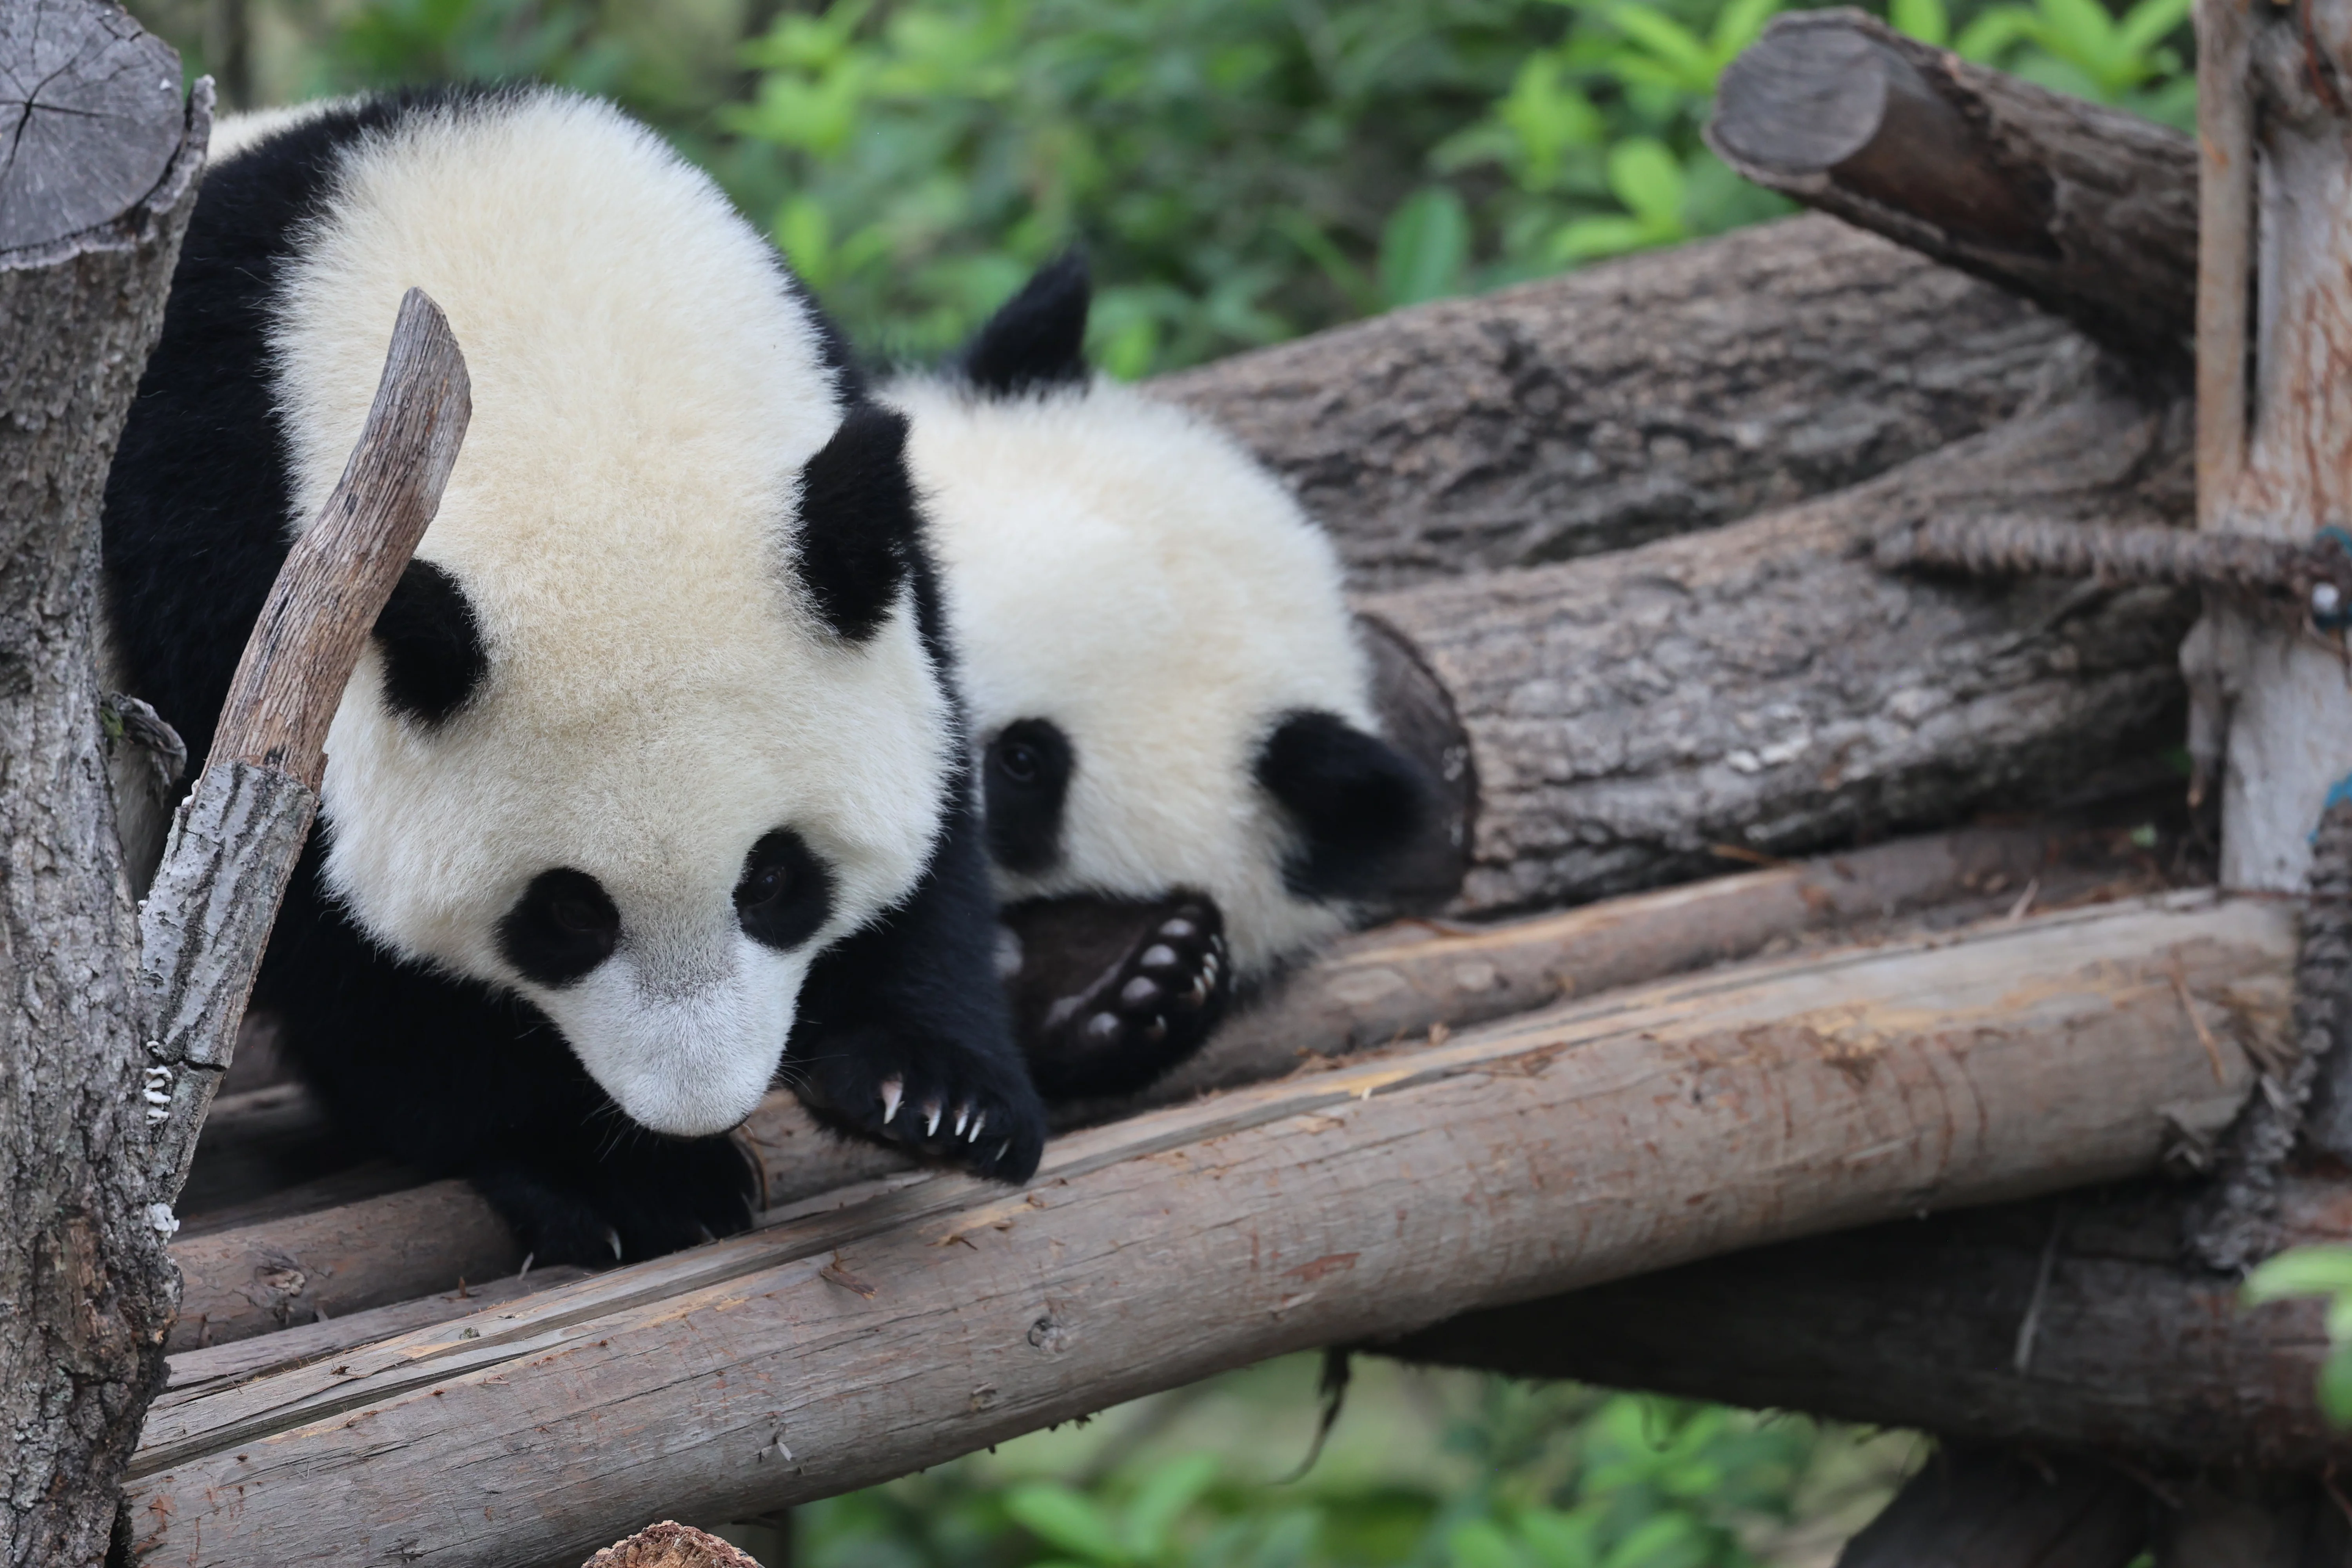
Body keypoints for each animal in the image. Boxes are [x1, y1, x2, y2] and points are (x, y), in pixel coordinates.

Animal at [102, 88, 1046, 1265]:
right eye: (564, 914)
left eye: (775, 879)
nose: (699, 1104)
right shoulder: (230, 554)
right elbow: (328, 933)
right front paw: (629, 1176)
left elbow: (935, 770)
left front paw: (933, 1091)